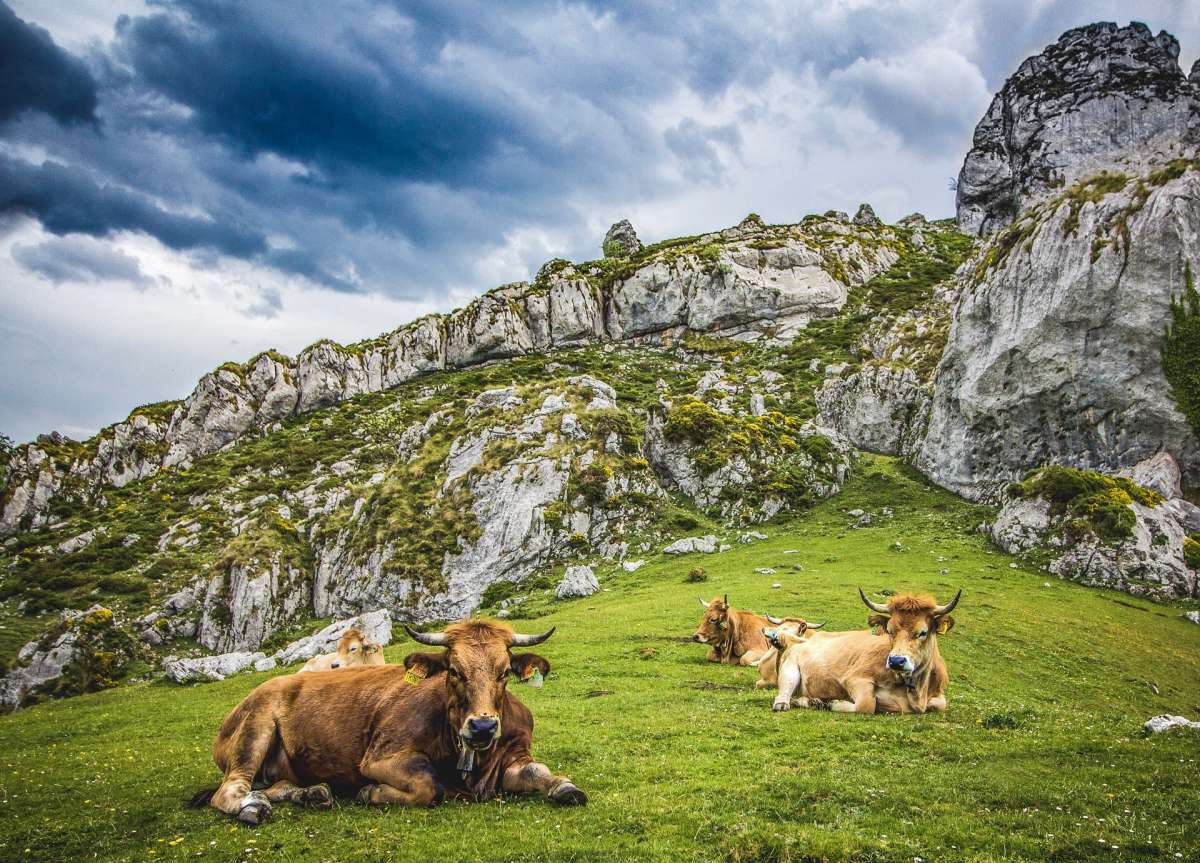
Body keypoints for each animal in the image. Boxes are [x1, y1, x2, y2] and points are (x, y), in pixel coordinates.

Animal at [189, 619, 583, 825]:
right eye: (454, 671)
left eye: (504, 673)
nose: (483, 727)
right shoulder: (381, 757)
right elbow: (428, 784)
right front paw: (371, 792)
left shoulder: (514, 754)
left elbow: (537, 771)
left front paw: (564, 787)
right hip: (254, 731)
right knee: (231, 788)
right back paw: (252, 806)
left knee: (279, 785)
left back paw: (312, 794)